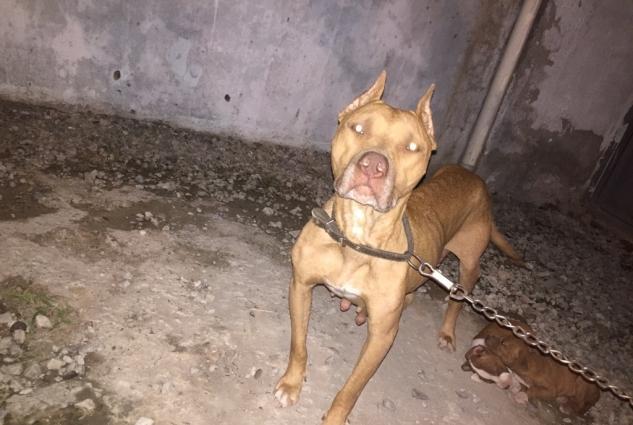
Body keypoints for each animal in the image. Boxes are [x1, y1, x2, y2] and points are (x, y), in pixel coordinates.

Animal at [274, 71, 523, 424]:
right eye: (358, 128)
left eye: (412, 147)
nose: (373, 166)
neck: (359, 239)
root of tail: (472, 175)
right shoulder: (300, 287)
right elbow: (299, 346)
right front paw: (291, 384)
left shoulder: (382, 337)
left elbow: (351, 387)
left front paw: (335, 416)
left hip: (470, 264)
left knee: (456, 298)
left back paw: (447, 333)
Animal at [463, 321, 600, 415]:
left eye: (503, 343)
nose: (488, 337)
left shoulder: (550, 390)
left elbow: (534, 389)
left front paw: (521, 395)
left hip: (582, 382)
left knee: (581, 405)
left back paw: (568, 407)